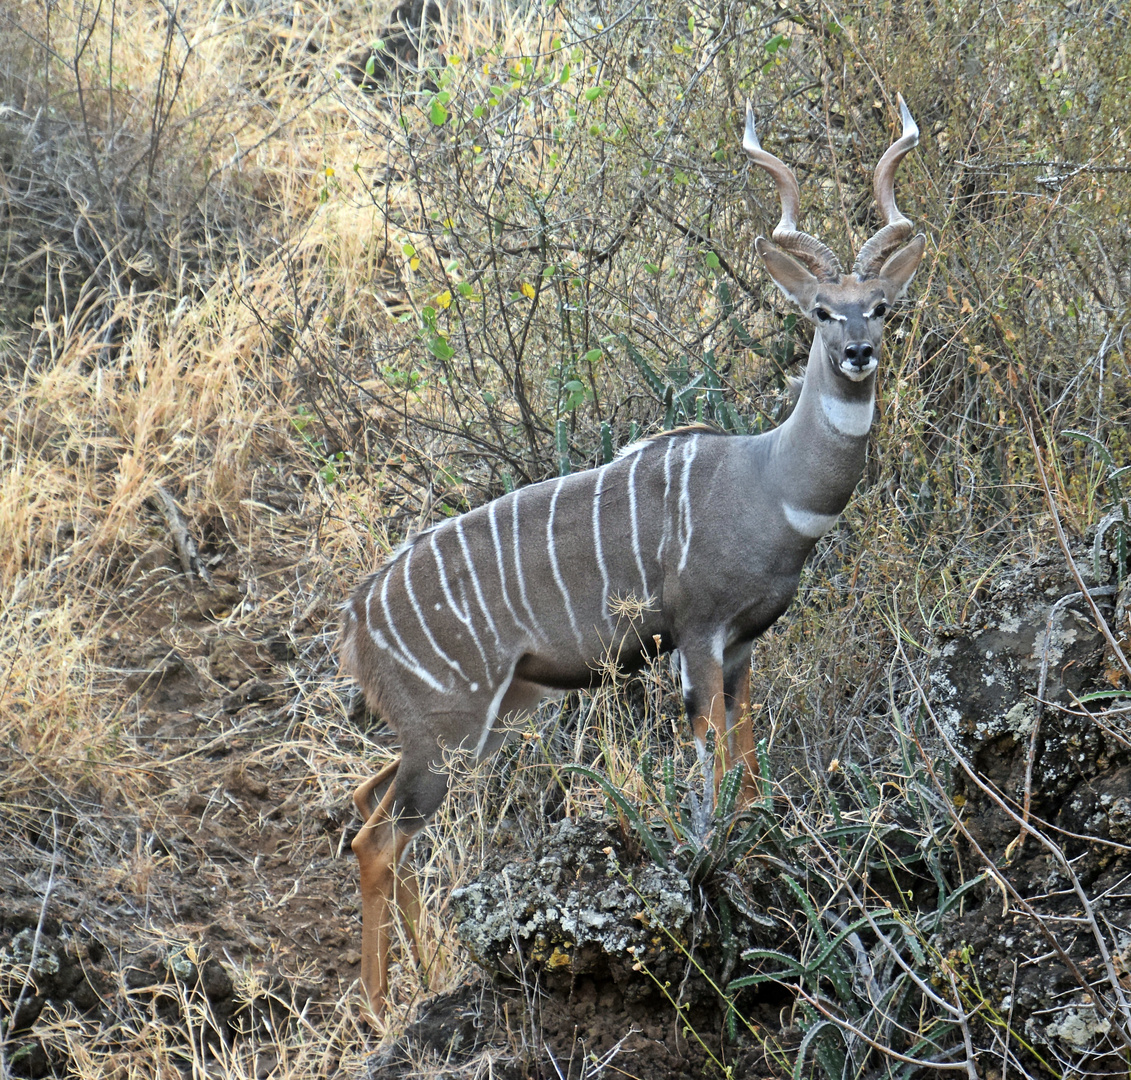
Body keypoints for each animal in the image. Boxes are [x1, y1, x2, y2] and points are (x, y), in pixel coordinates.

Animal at [341, 97, 927, 1017]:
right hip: (450, 728)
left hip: (467, 727)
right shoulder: (696, 633)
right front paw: (711, 871)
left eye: (880, 305)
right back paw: (378, 1007)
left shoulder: (744, 645)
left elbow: (748, 758)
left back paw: (423, 979)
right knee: (375, 838)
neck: (768, 483)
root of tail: (355, 618)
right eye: (820, 312)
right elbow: (707, 759)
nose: (858, 354)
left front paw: (764, 850)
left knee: (368, 804)